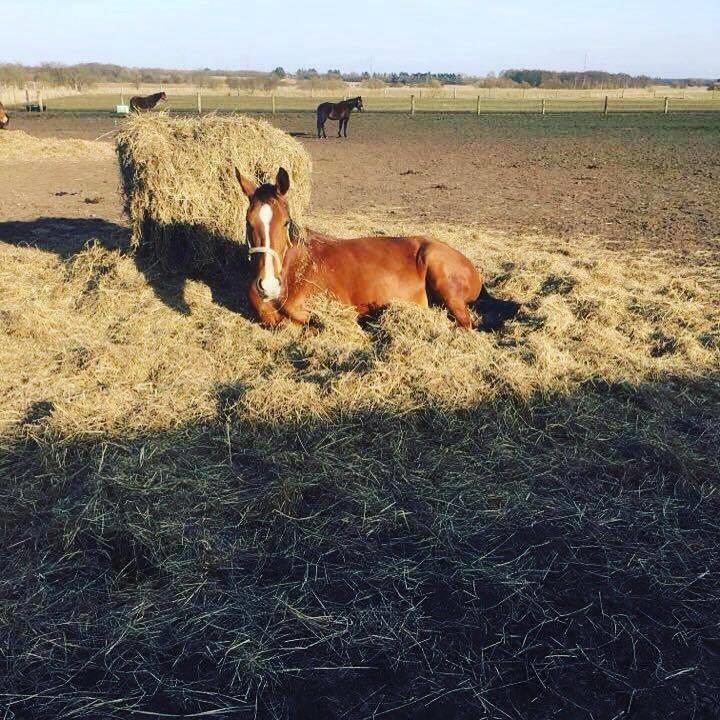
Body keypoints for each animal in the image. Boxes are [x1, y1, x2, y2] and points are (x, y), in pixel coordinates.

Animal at [233, 166, 520, 330]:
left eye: (286, 223)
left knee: (464, 323)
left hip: (442, 277)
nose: (268, 285)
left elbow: (300, 320)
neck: (296, 269)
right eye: (248, 222)